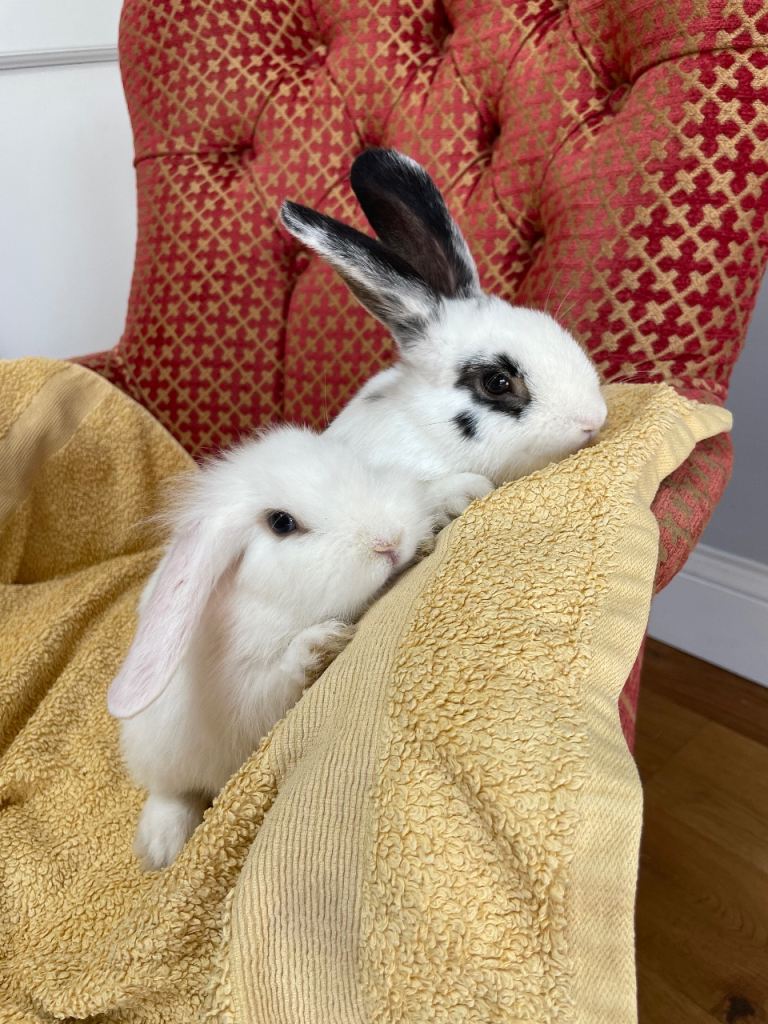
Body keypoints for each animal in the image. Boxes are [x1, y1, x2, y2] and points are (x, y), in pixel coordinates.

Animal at [108, 425, 490, 869]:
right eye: (281, 522)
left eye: (358, 467)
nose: (389, 542)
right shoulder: (247, 697)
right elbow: (273, 684)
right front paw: (321, 644)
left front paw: (464, 490)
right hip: (162, 749)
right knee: (169, 791)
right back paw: (162, 847)